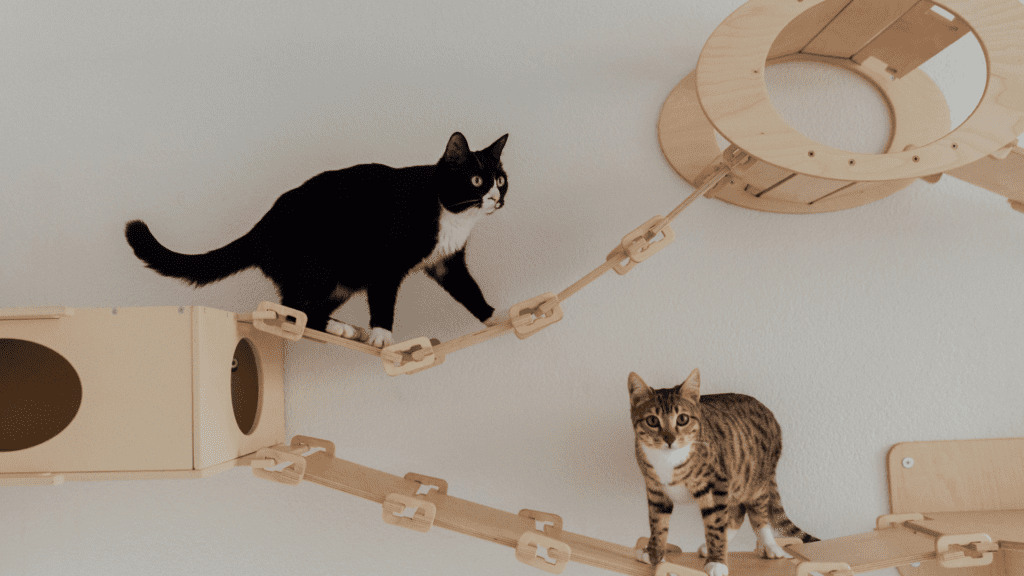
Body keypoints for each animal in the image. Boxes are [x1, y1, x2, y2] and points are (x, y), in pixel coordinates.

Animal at [125, 132, 508, 347]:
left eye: (501, 179)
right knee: (295, 308)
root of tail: (259, 228)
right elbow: (383, 298)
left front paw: (496, 317)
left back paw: (343, 328)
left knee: (306, 308)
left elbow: (469, 289)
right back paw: (343, 329)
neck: (449, 213)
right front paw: (382, 336)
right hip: (317, 264)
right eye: (476, 180)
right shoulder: (386, 262)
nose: (496, 198)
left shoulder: (448, 262)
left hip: (340, 280)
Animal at [628, 369, 818, 576]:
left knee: (756, 514)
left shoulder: (716, 482)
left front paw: (717, 562)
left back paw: (769, 545)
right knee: (737, 513)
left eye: (682, 419)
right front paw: (654, 553)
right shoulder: (655, 488)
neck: (668, 460)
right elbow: (657, 523)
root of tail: (770, 415)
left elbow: (715, 523)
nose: (669, 439)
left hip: (755, 478)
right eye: (652, 420)